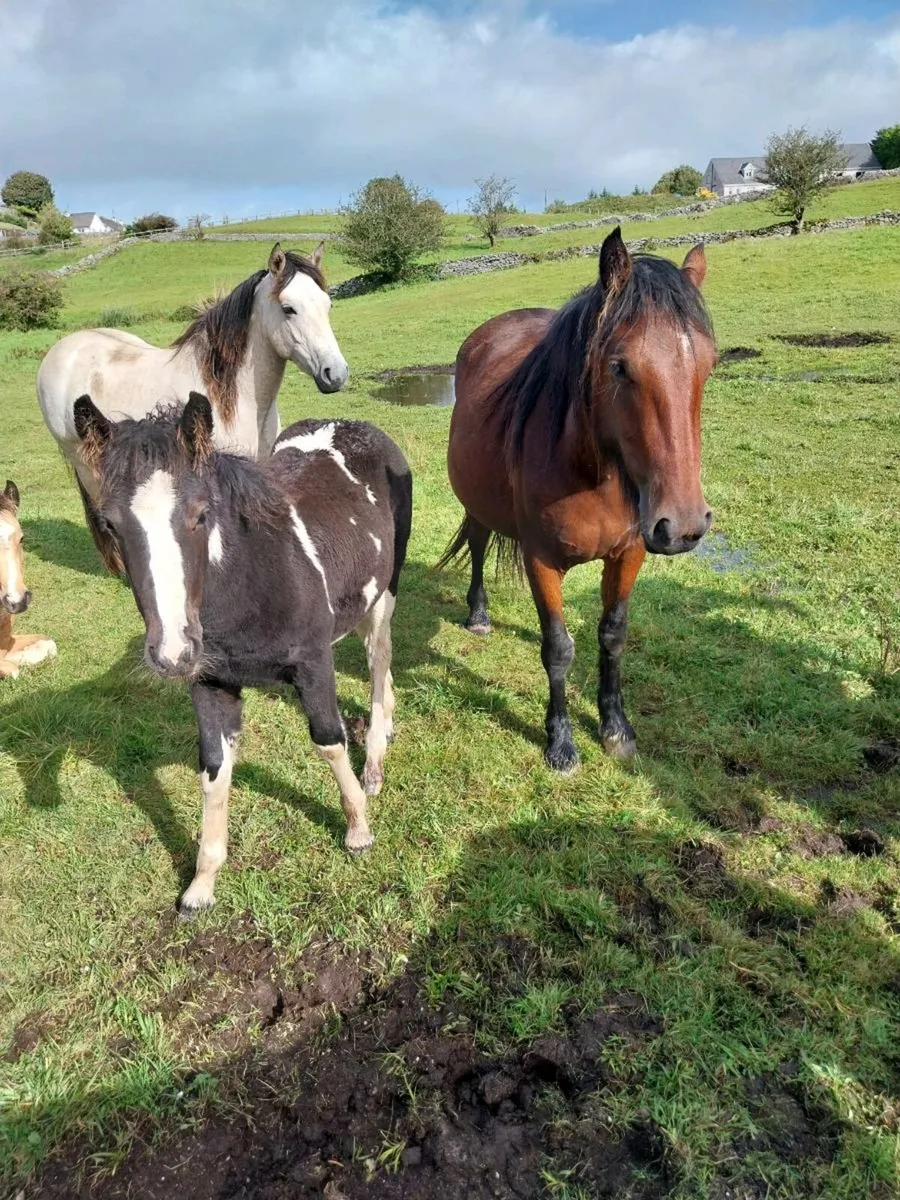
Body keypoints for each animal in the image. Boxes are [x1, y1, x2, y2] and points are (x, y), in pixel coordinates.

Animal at [38, 243, 348, 575]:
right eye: (289, 309)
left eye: (328, 305)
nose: (335, 374)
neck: (231, 395)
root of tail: (61, 350)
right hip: (84, 462)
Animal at [73, 392, 412, 917]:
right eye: (110, 523)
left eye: (200, 514)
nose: (171, 653)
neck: (252, 577)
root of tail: (352, 423)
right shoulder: (210, 681)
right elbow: (214, 768)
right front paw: (201, 885)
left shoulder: (314, 662)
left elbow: (329, 740)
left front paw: (358, 828)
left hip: (386, 591)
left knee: (379, 659)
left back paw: (375, 759)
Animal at [439, 227, 715, 772]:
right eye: (620, 366)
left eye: (709, 363)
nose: (684, 527)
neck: (593, 474)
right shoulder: (540, 561)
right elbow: (558, 648)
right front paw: (561, 742)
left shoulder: (629, 554)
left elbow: (612, 636)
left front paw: (616, 729)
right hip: (477, 505)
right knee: (478, 545)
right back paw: (479, 616)